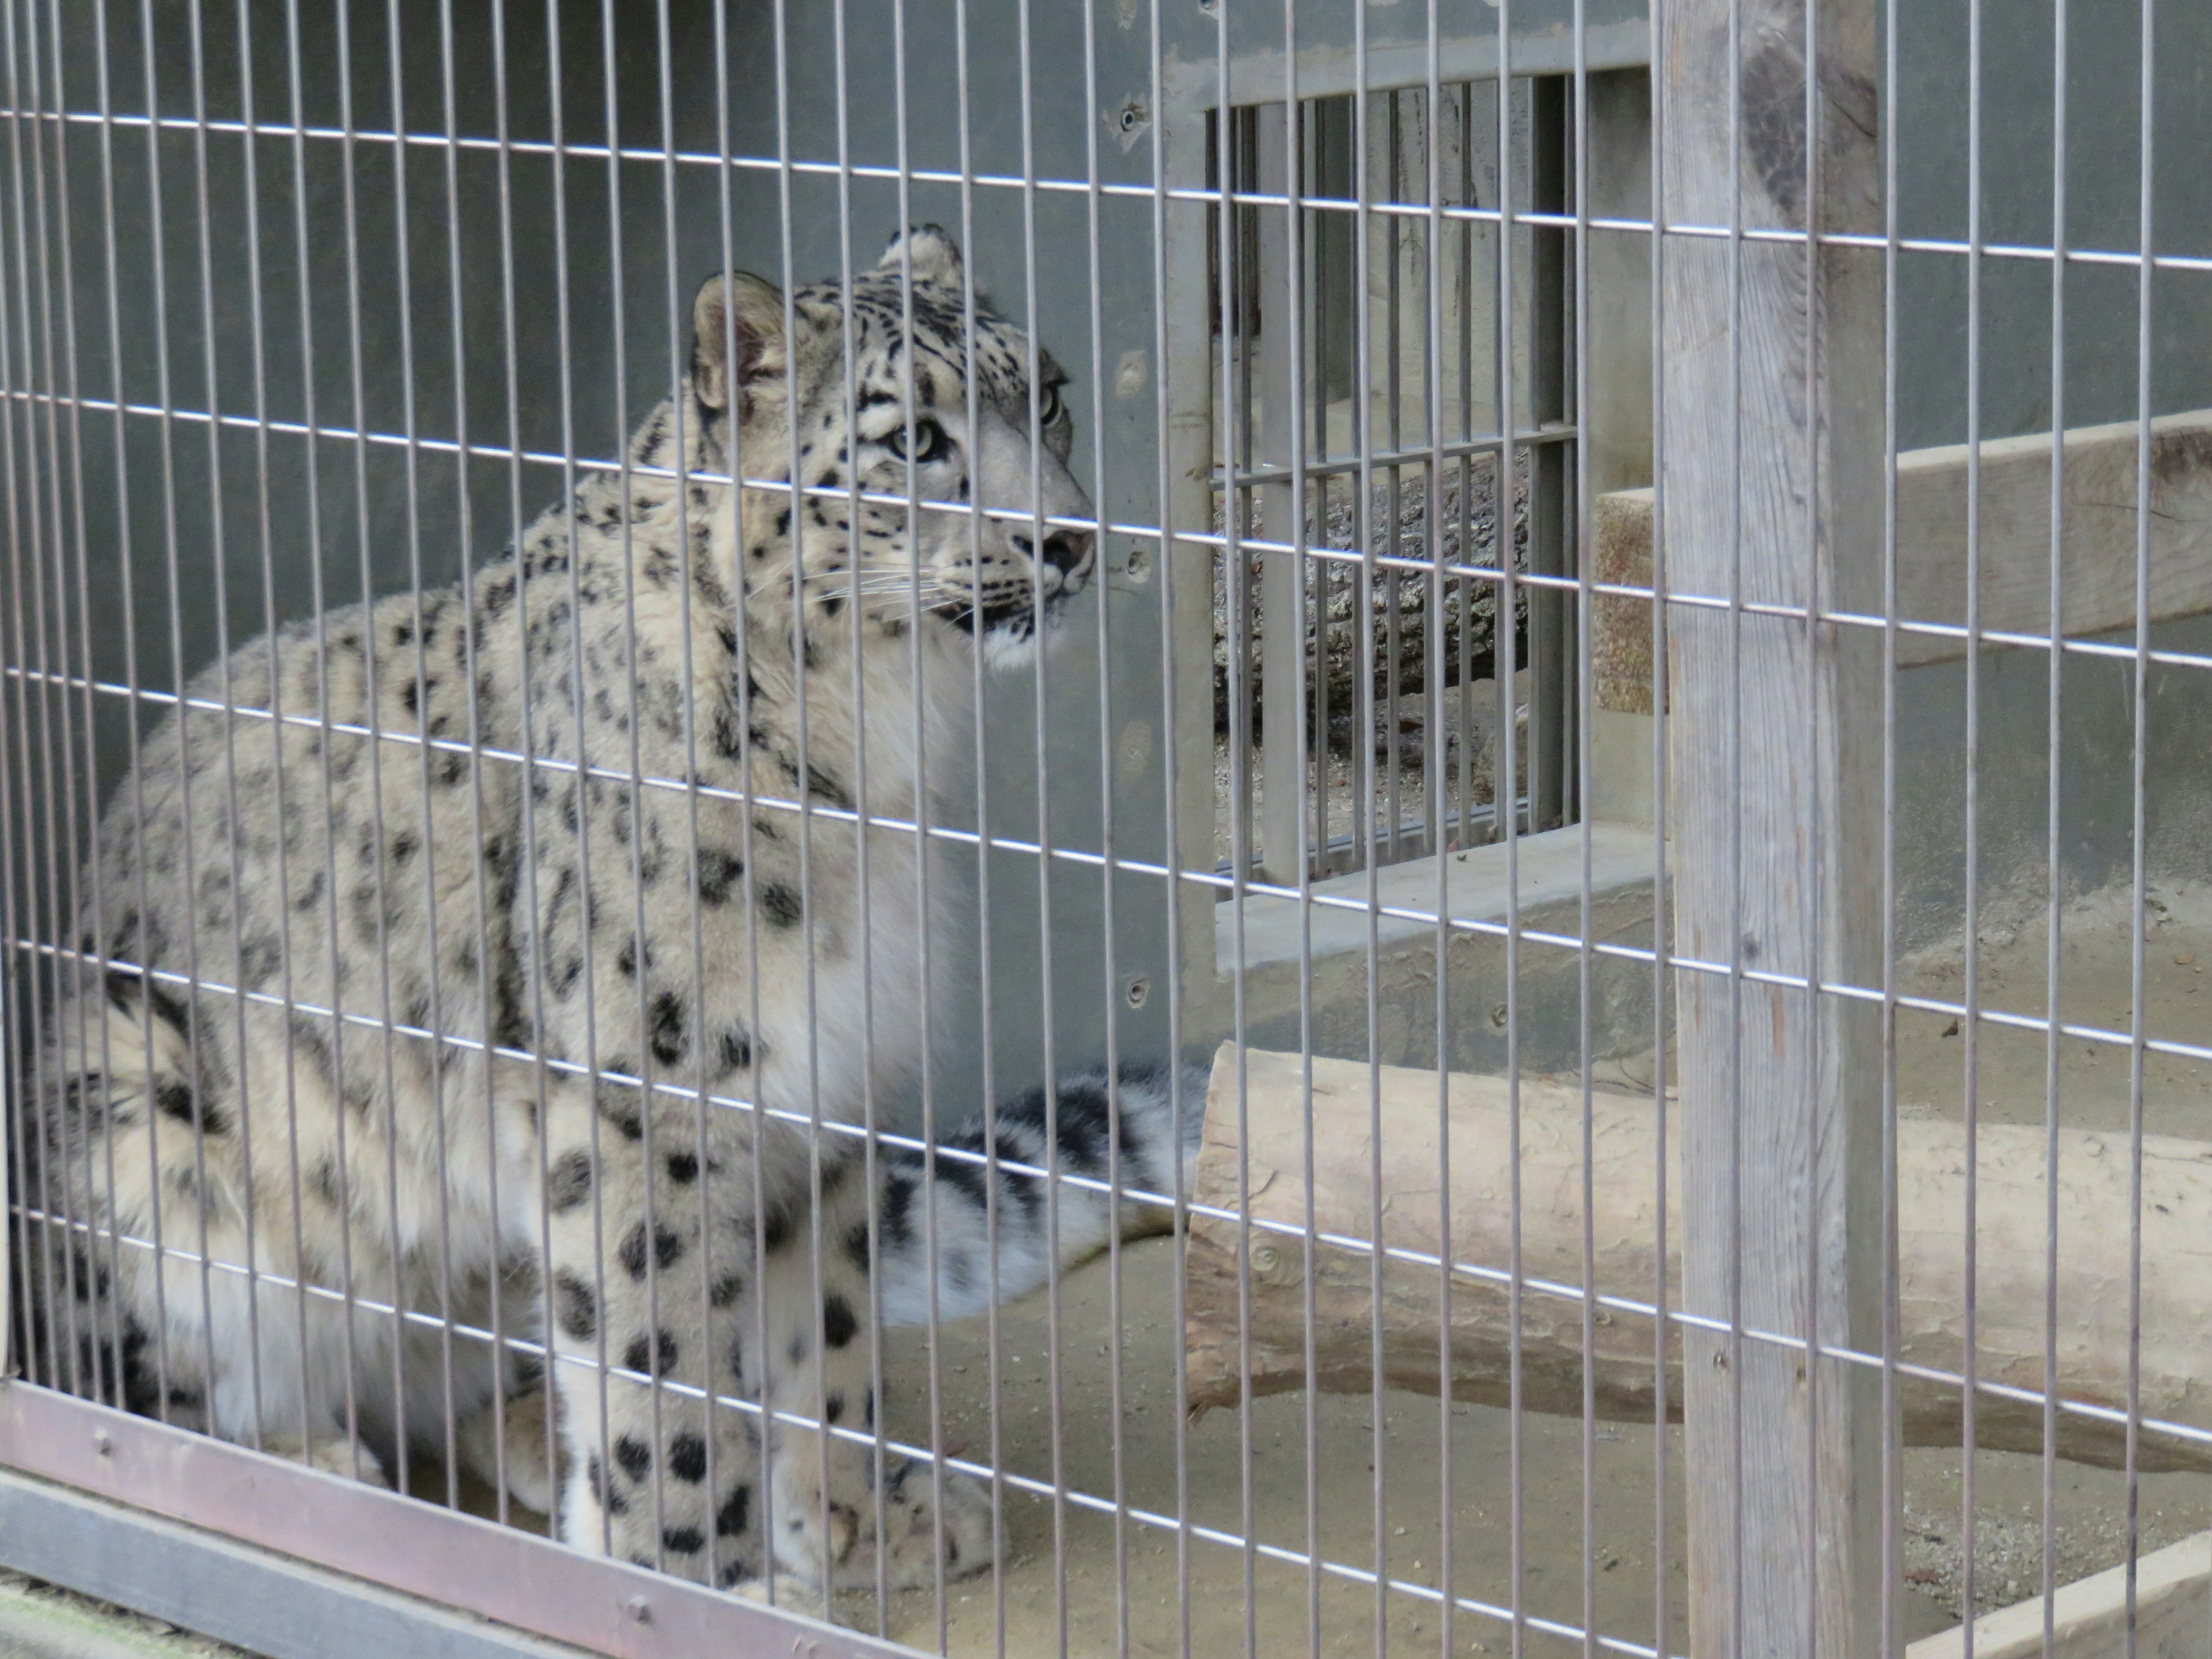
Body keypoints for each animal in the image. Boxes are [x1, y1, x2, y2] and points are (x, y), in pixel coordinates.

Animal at [9, 228, 1203, 1619]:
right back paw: (305, 1466)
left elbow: (824, 1330)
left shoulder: (839, 1072)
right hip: (135, 1116)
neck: (880, 744)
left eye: (1048, 395)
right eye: (914, 436)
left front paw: (860, 1519)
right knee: (130, 1382)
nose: (1067, 537)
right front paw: (702, 1589)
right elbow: (664, 1360)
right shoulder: (655, 1101)